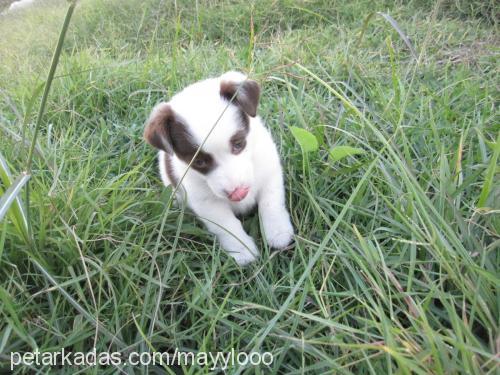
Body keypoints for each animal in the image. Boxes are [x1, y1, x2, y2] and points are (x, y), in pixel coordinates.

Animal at [144, 70, 292, 264]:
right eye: (199, 162)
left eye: (238, 144)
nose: (238, 193)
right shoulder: (206, 202)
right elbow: (227, 225)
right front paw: (242, 250)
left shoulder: (269, 171)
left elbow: (271, 203)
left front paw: (278, 232)